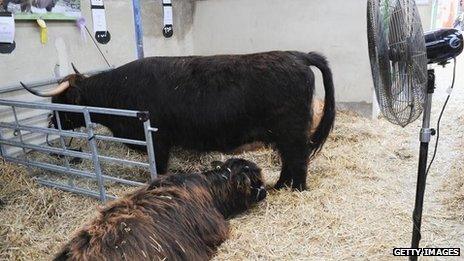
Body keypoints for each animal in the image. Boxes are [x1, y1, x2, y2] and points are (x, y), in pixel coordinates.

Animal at [21, 50, 336, 189]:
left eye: (59, 101)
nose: (51, 124)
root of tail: (297, 56)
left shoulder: (158, 141)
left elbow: (158, 169)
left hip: (291, 132)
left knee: (298, 160)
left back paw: (296, 188)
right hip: (283, 135)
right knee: (288, 160)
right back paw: (281, 185)